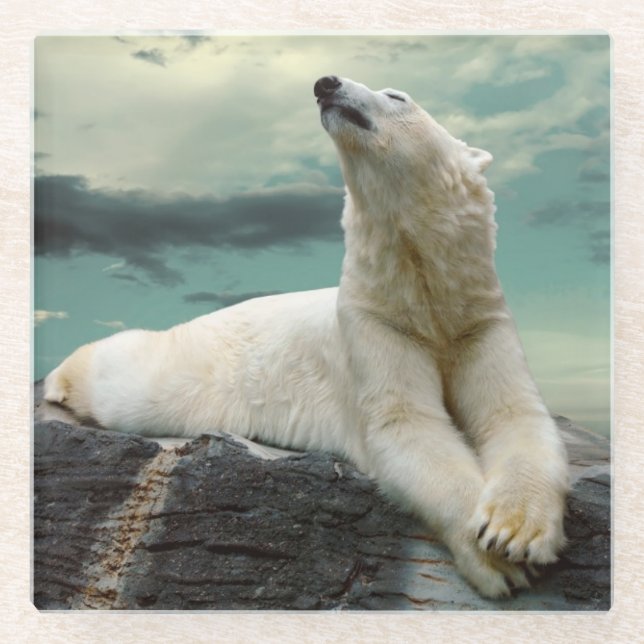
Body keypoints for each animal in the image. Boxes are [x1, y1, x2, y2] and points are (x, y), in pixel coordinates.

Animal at [43, 76, 570, 599]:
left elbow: (514, 413)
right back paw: (58, 380)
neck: (422, 292)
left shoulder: (477, 320)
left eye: (397, 96)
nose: (326, 83)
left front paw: (514, 531)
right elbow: (406, 424)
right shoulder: (373, 323)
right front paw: (495, 559)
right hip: (187, 367)